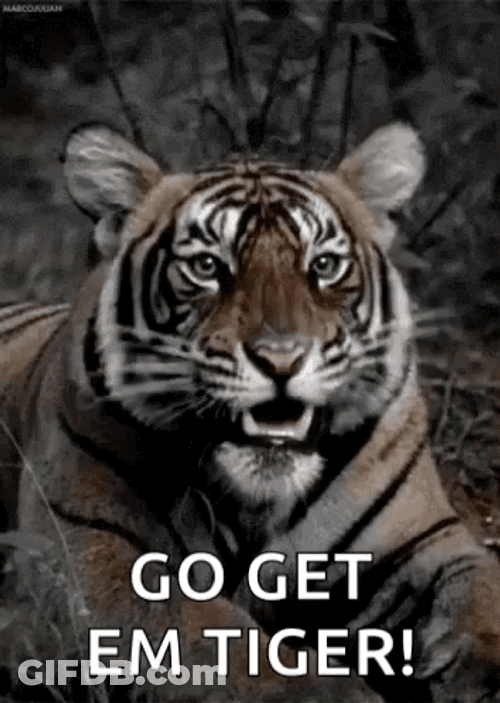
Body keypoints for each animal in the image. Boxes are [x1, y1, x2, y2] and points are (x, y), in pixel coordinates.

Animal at [2, 121, 500, 703]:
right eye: (206, 266)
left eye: (324, 266)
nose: (282, 358)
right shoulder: (90, 554)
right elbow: (225, 642)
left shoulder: (423, 544)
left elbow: (482, 596)